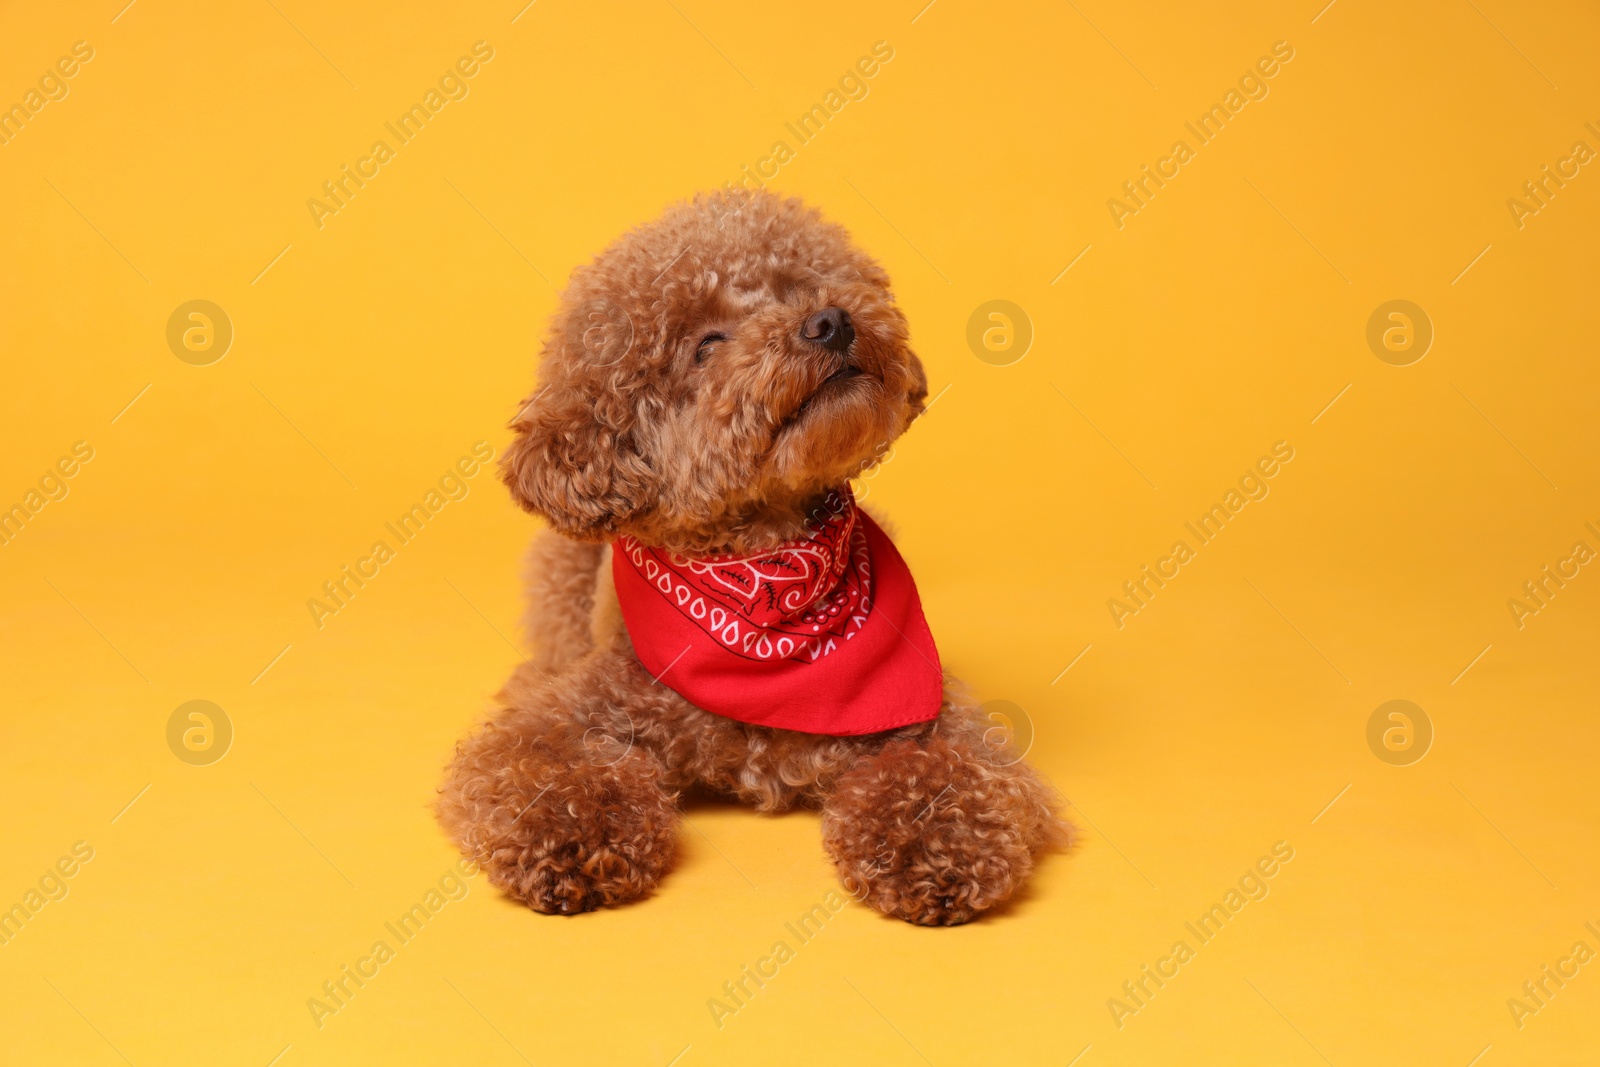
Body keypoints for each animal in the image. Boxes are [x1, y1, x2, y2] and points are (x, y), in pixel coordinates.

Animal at [432, 189, 1068, 927]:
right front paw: (569, 839)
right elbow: (539, 764)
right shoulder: (569, 718)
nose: (829, 321)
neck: (767, 580)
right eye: (707, 344)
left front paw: (937, 845)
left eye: (802, 287)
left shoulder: (937, 722)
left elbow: (951, 773)